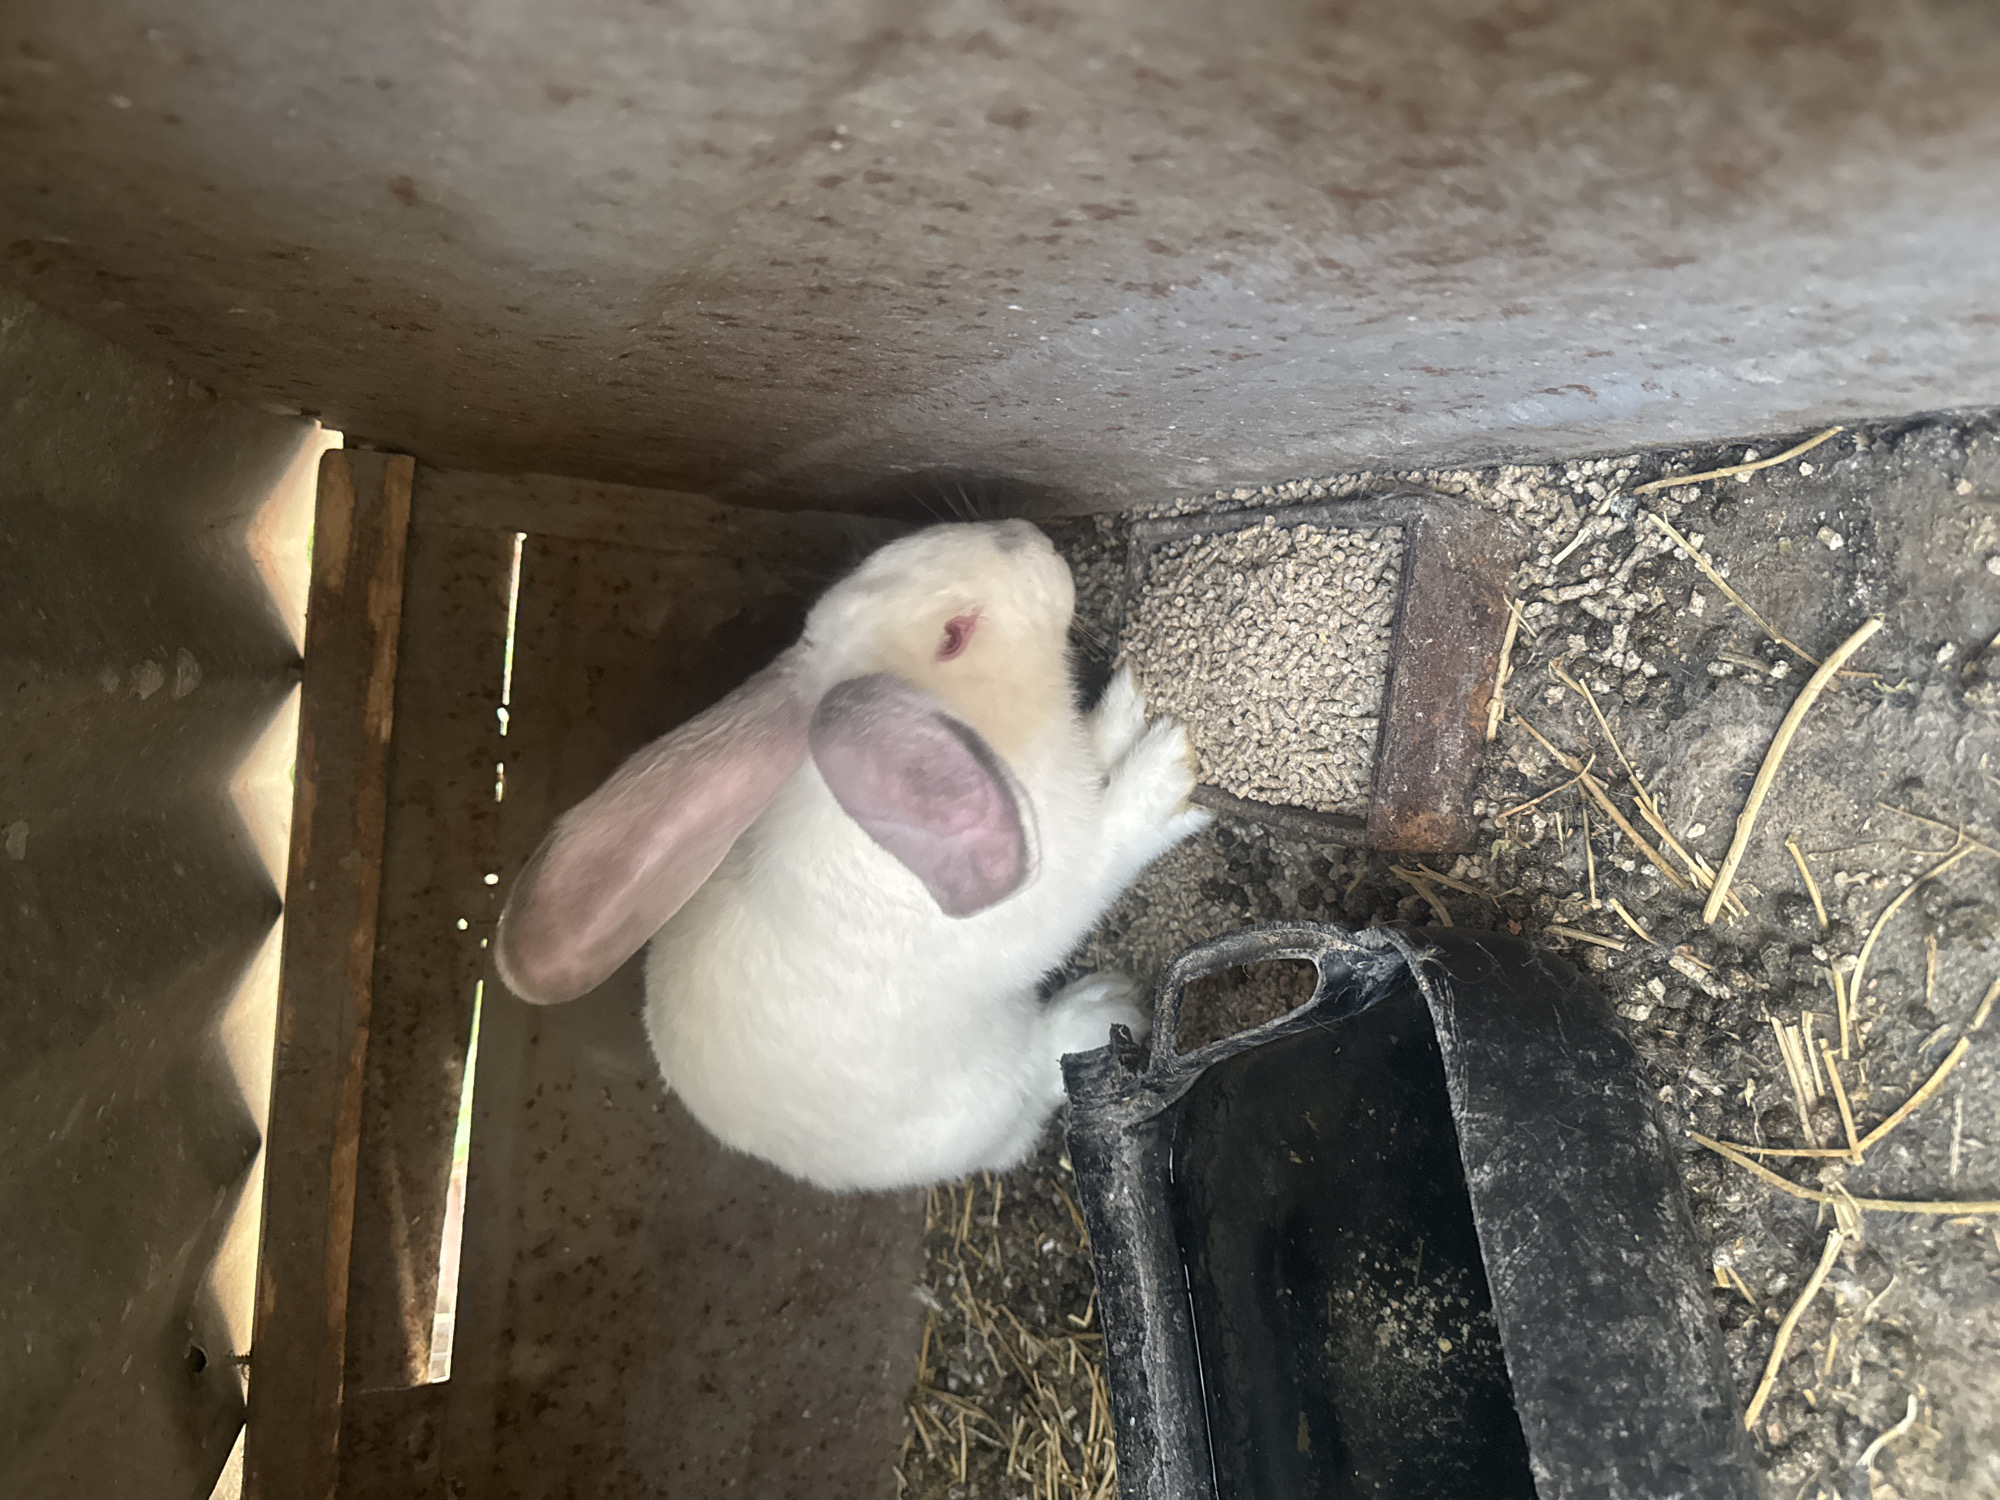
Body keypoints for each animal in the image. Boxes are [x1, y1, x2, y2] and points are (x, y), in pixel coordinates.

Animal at [495, 518, 1209, 1191]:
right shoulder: (1059, 887)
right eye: (954, 636)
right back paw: (1105, 1007)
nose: (1032, 538)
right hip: (993, 1082)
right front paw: (1165, 767)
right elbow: (1110, 847)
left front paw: (1126, 708)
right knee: (1037, 1081)